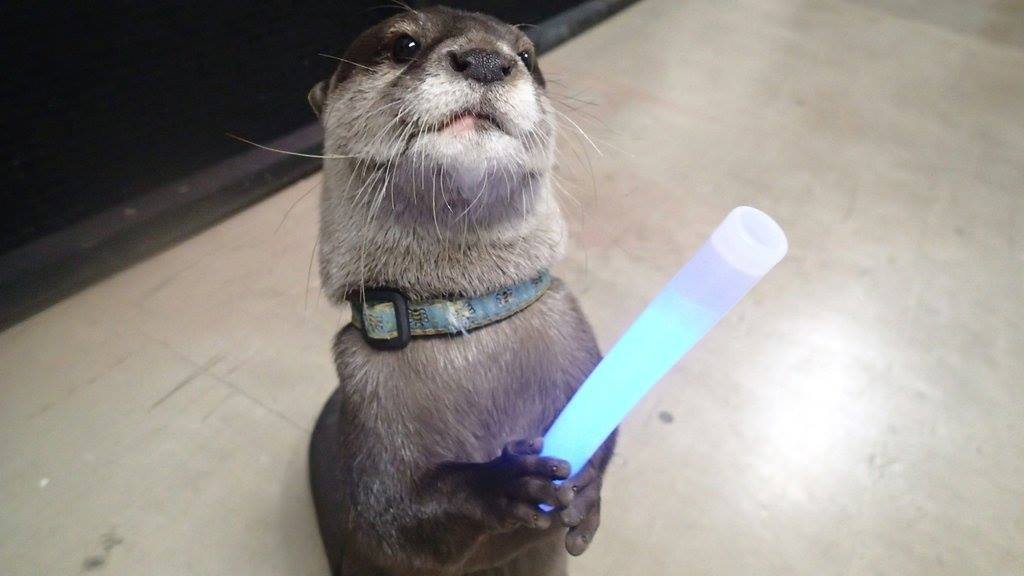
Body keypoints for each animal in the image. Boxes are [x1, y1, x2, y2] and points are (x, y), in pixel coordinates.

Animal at [308, 6, 616, 575]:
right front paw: (504, 480)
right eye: (404, 44)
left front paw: (585, 490)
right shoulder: (371, 416)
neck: (465, 317)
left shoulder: (582, 350)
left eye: (526, 56)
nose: (487, 60)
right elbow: (393, 519)